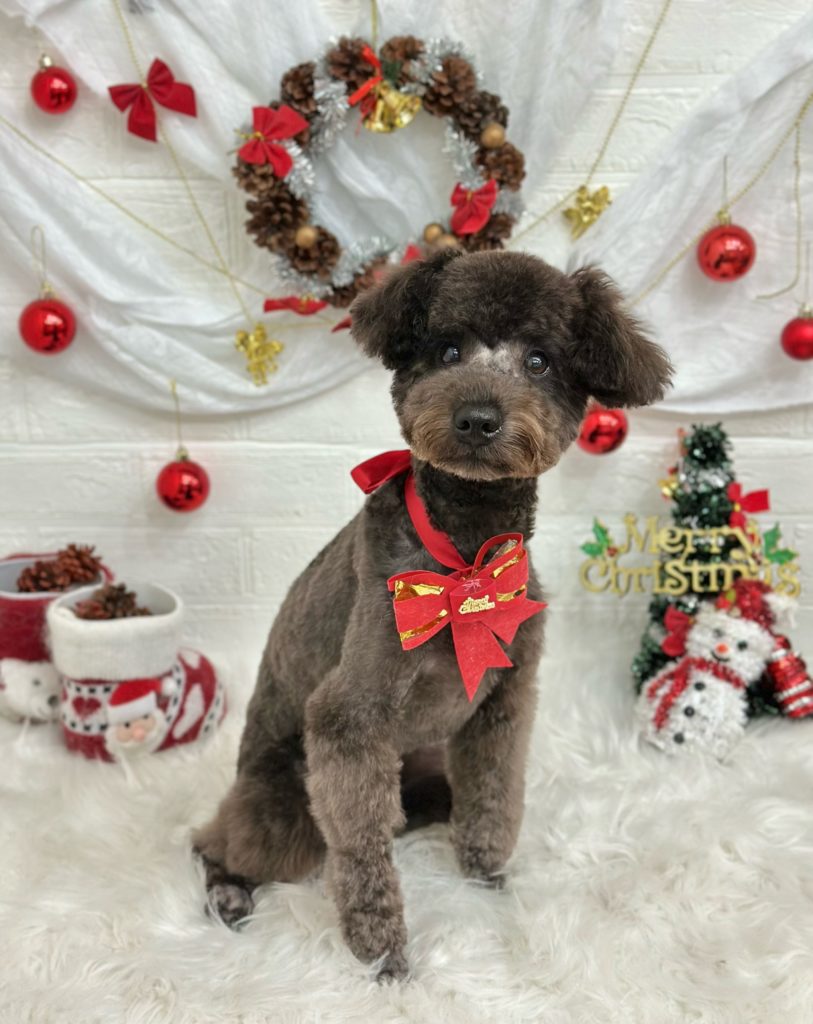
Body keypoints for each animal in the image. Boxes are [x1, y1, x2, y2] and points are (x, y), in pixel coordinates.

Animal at [194, 248, 672, 981]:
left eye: (539, 361)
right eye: (447, 350)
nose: (477, 417)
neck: (464, 557)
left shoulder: (503, 700)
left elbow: (493, 796)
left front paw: (486, 879)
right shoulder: (350, 719)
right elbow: (360, 850)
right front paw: (380, 953)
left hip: (426, 775)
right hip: (283, 800)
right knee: (221, 840)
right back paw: (227, 891)